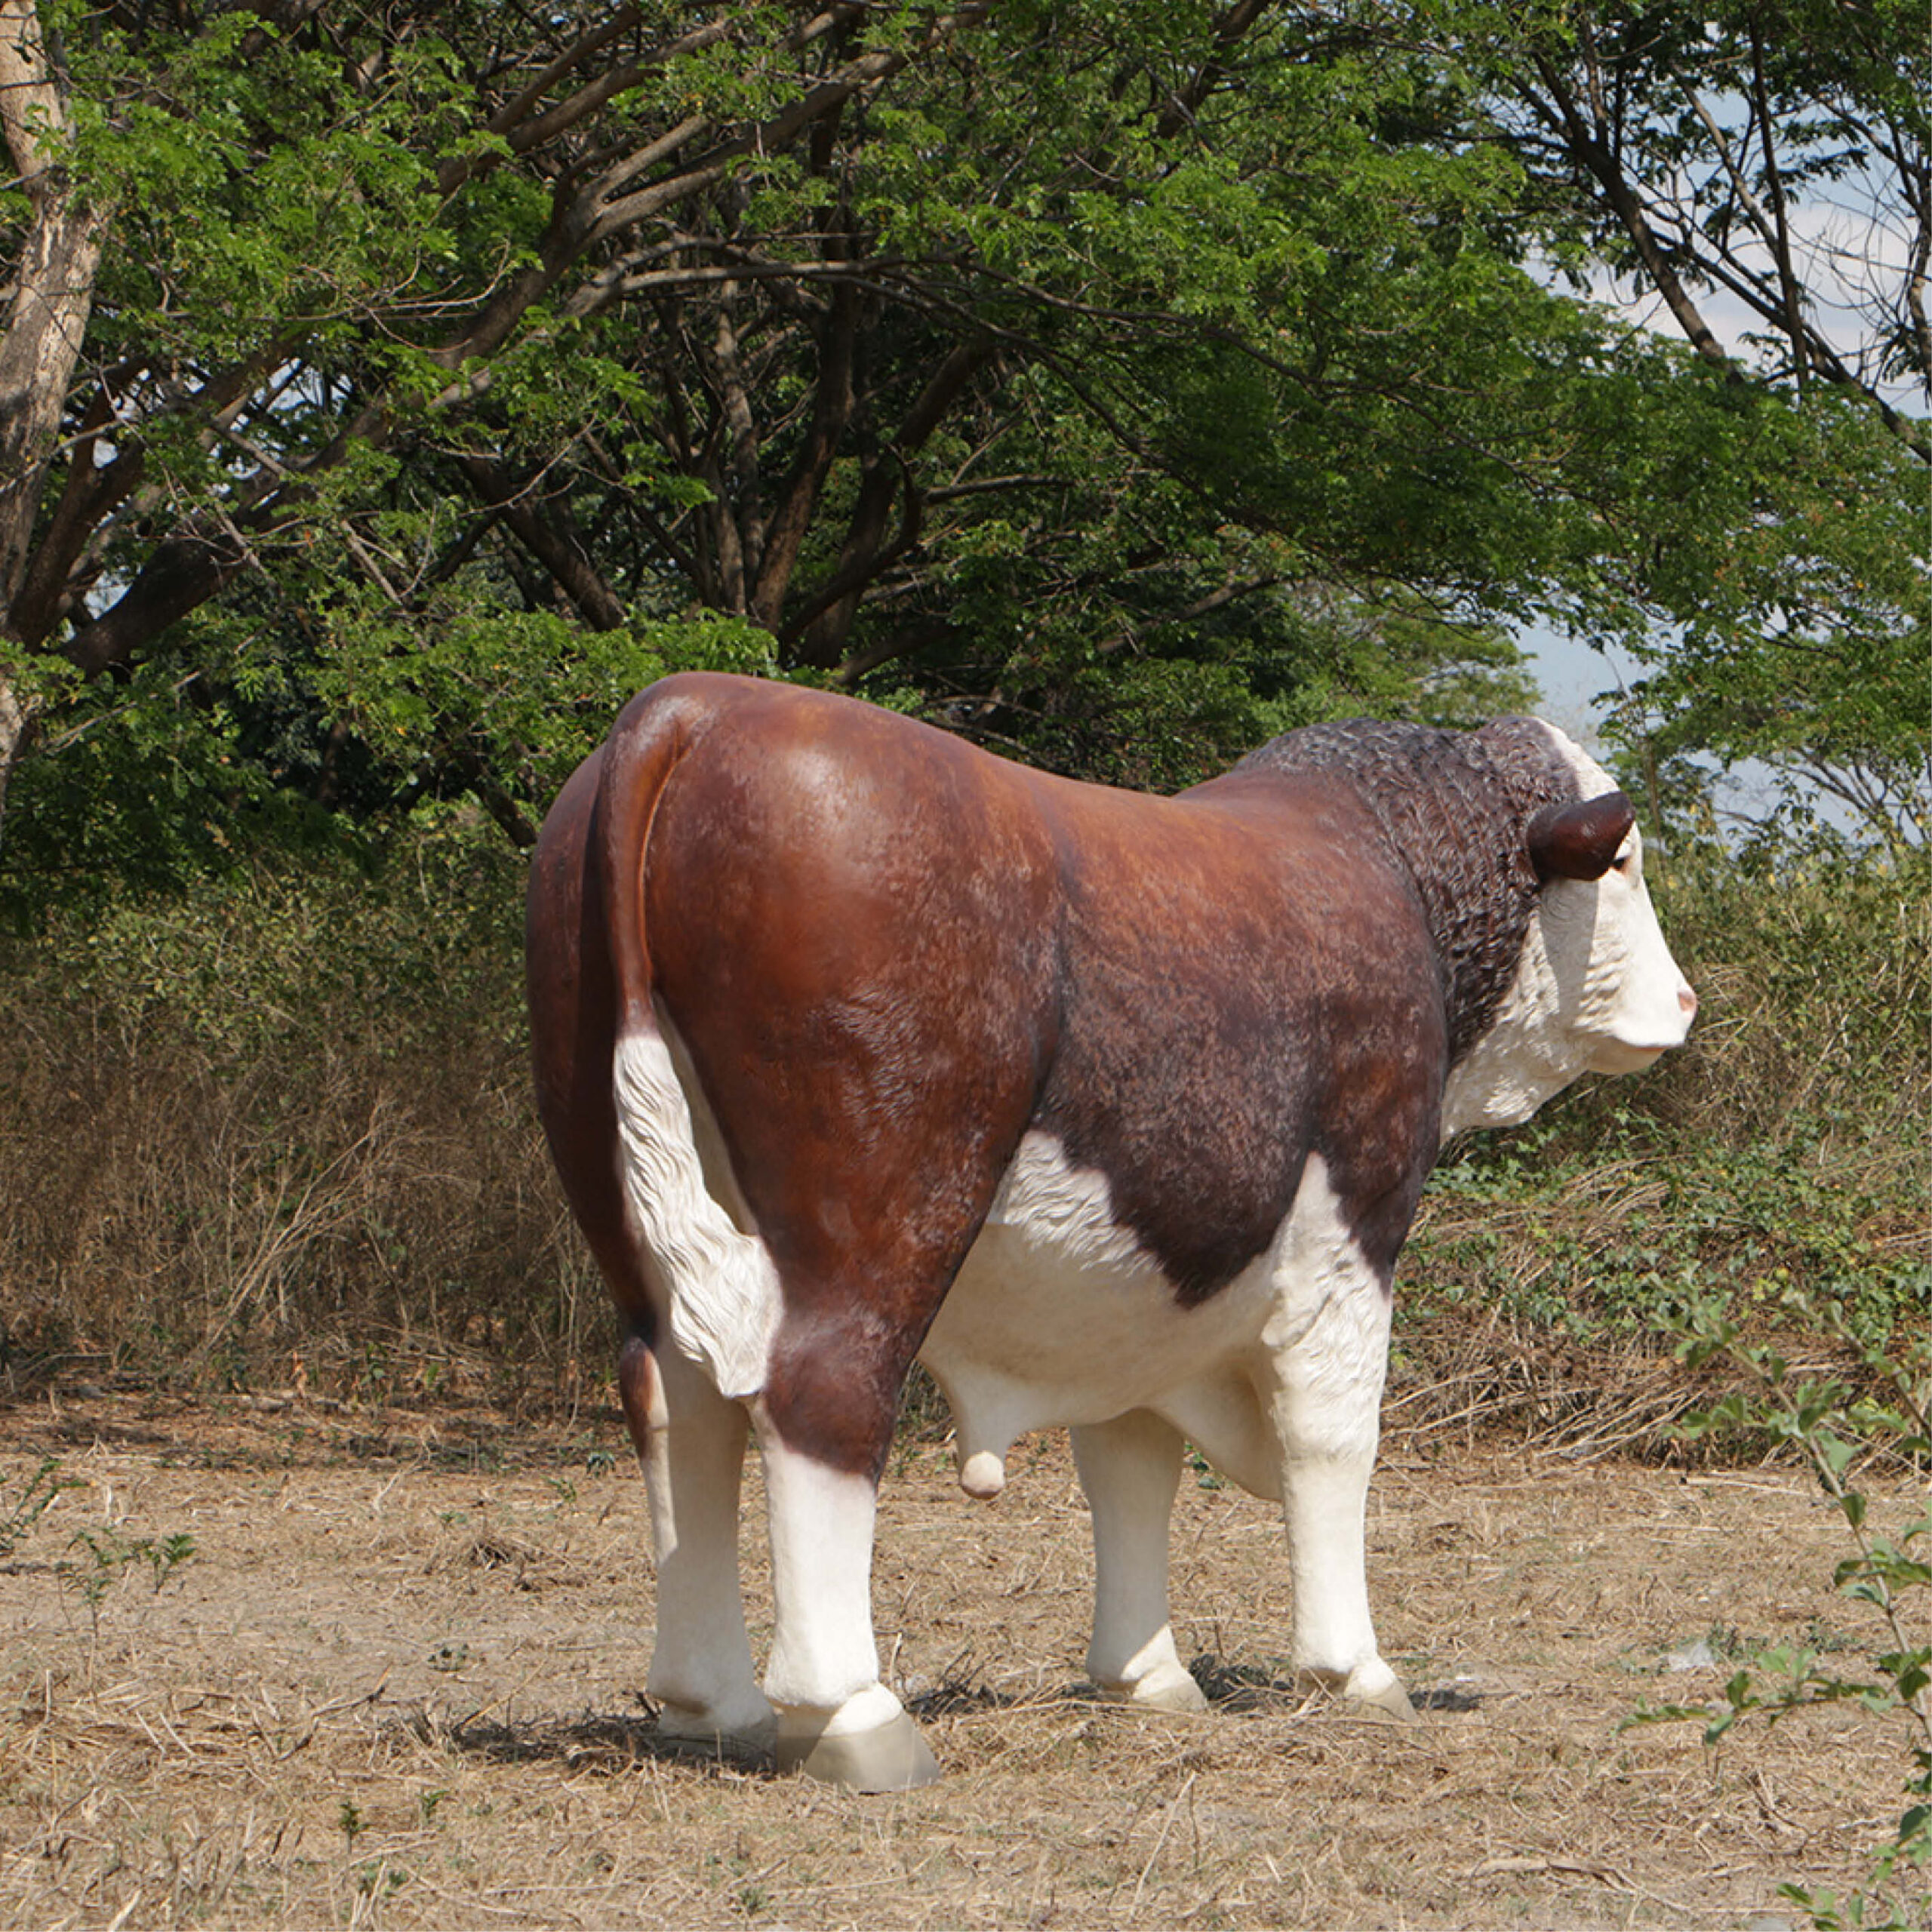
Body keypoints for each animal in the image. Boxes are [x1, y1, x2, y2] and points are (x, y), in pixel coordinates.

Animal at [525, 671, 1696, 1791]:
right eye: (1623, 861)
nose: (1684, 1000)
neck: (1392, 865)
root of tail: (696, 706)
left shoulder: (1131, 1290)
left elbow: (1131, 1462)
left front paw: (1146, 1677)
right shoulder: (1355, 1220)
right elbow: (1333, 1439)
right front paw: (1354, 1672)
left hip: (625, 1187)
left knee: (675, 1397)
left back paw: (709, 1702)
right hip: (874, 1212)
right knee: (821, 1391)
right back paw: (854, 1715)